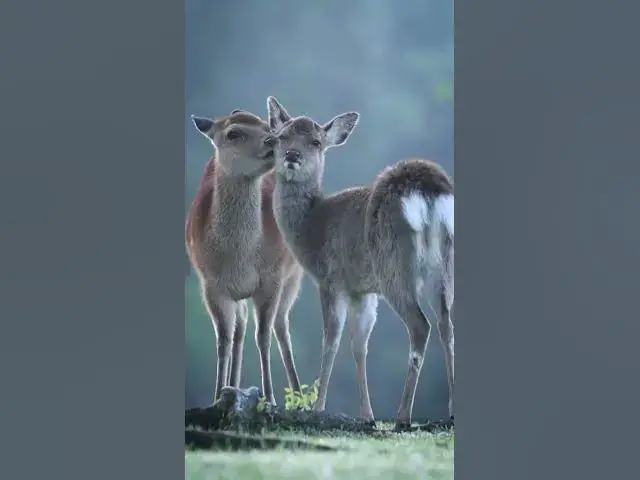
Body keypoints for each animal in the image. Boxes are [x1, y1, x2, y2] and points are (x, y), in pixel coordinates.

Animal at [186, 108, 303, 405]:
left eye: (267, 126)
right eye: (233, 133)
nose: (272, 141)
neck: (238, 257)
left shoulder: (271, 278)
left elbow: (263, 337)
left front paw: (270, 398)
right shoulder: (210, 285)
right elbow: (223, 340)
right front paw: (217, 396)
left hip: (293, 278)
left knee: (281, 326)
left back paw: (299, 398)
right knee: (240, 329)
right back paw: (232, 387)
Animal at [266, 96, 454, 431]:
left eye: (316, 142)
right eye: (281, 137)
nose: (292, 156)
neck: (312, 227)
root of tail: (428, 191)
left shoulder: (332, 279)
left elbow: (331, 340)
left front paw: (318, 408)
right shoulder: (362, 290)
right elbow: (359, 346)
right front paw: (367, 416)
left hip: (394, 265)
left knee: (420, 325)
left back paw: (402, 416)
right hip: (443, 263)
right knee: (447, 324)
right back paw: (451, 410)